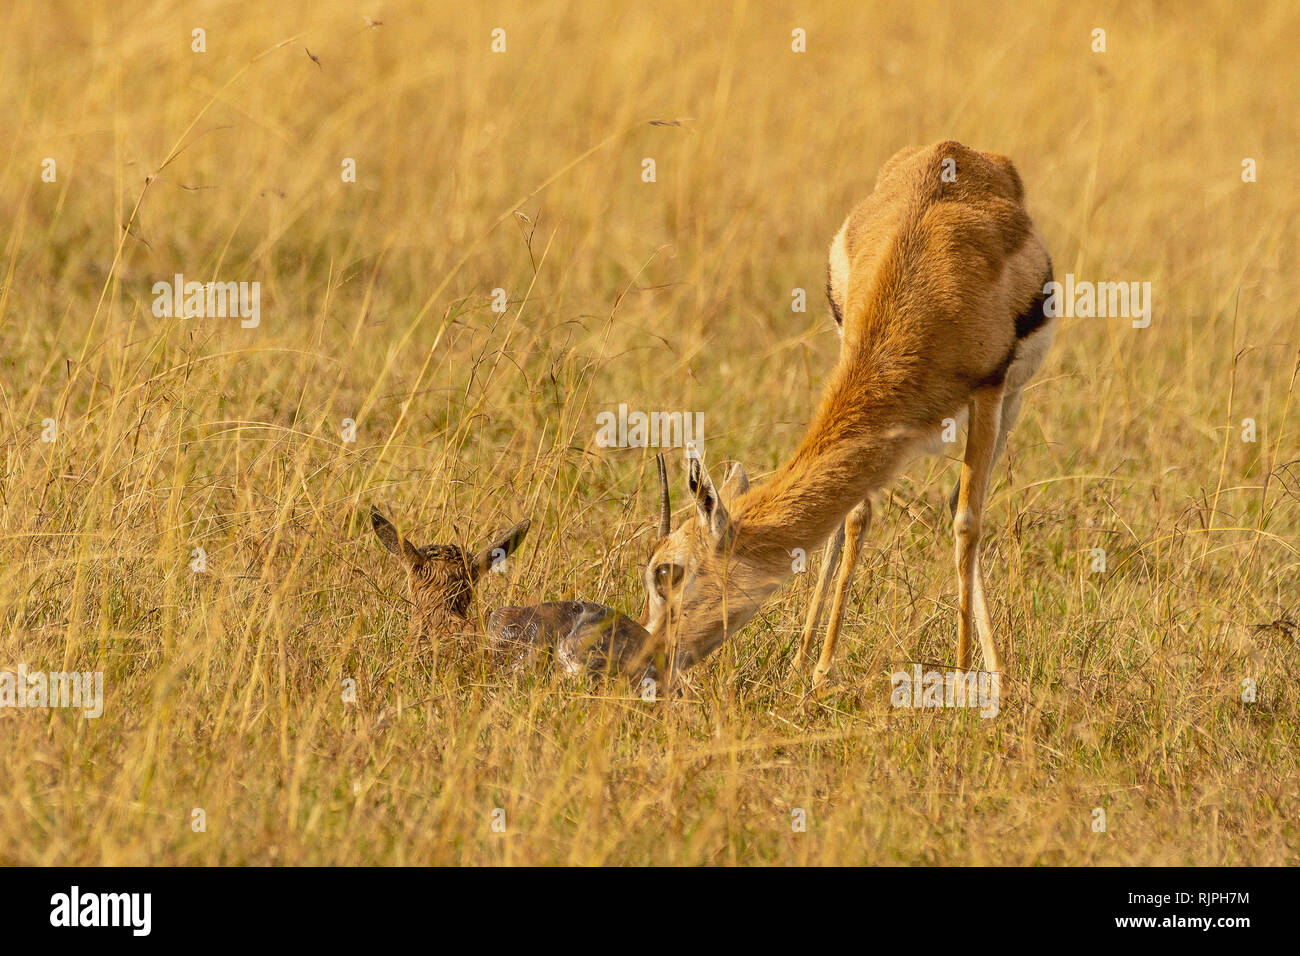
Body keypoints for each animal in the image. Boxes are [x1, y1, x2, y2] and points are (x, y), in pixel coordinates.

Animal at [640, 141, 1055, 687]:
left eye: (669, 572)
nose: (647, 660)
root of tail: (962, 150)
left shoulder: (989, 392)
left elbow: (967, 522)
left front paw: (965, 677)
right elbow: (855, 516)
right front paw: (818, 668)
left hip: (1013, 399)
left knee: (963, 510)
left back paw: (992, 670)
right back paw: (803, 659)